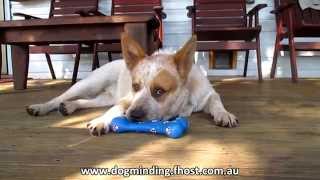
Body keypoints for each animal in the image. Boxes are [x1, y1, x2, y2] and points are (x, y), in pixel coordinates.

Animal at [26, 33, 238, 136]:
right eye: (135, 86)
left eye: (159, 91)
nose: (134, 115)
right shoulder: (127, 100)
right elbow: (114, 111)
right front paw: (101, 121)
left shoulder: (208, 94)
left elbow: (216, 102)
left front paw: (224, 114)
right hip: (89, 84)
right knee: (60, 97)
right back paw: (41, 107)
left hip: (104, 97)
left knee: (85, 102)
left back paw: (69, 106)